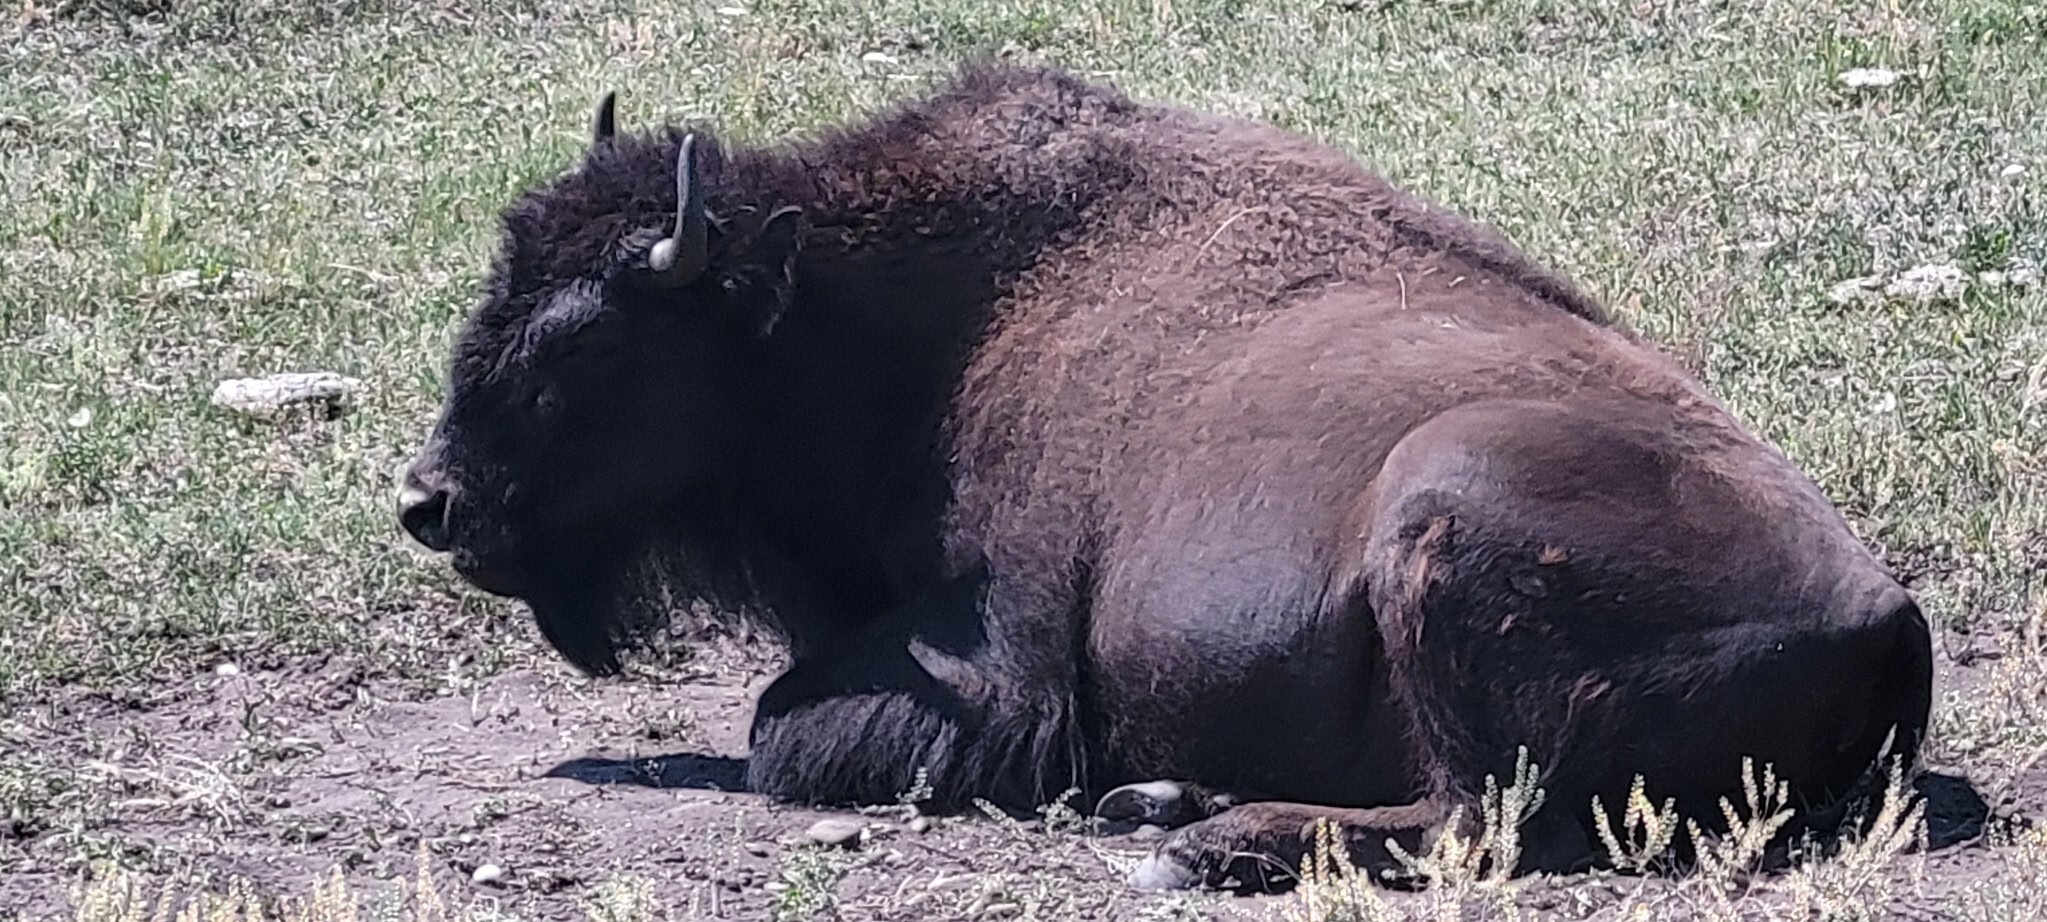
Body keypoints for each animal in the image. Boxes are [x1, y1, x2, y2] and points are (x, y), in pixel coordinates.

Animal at [396, 62, 1933, 891]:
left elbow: (784, 728)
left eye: (586, 340)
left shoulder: (999, 668)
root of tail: (1891, 611)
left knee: (1479, 814)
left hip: (1438, 509)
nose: (429, 501)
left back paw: (1190, 839)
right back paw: (1162, 805)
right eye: (496, 285)